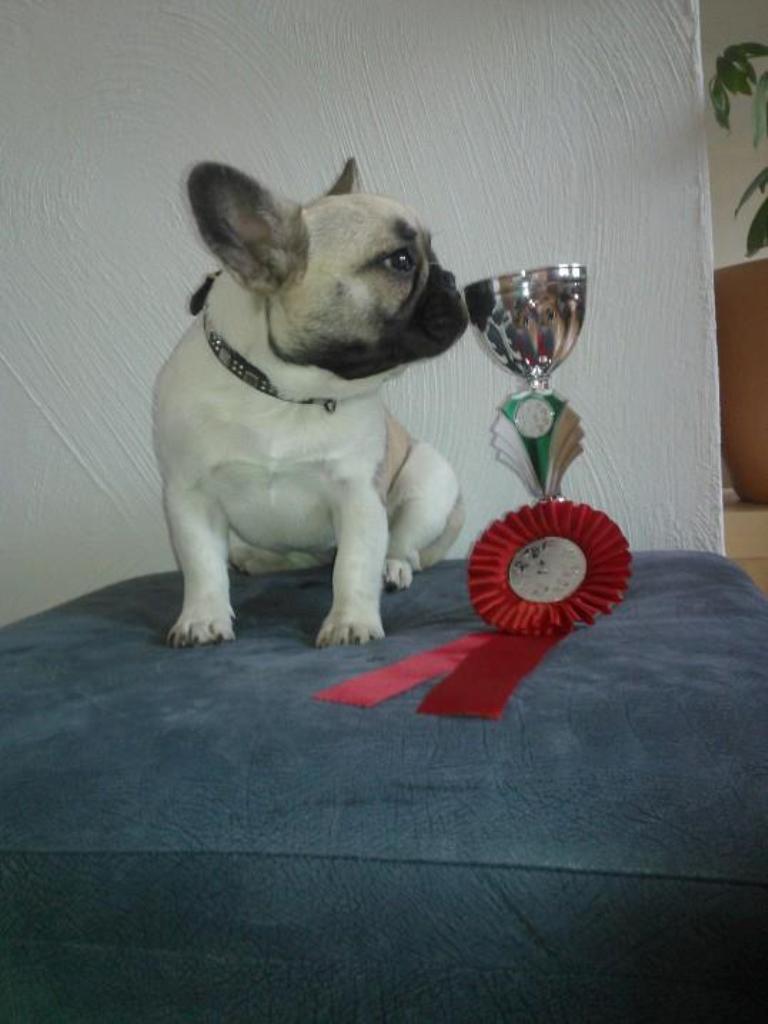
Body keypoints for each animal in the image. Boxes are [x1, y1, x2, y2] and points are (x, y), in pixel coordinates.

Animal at [153, 159, 468, 648]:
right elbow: (202, 566)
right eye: (399, 261)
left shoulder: (358, 495)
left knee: (403, 546)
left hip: (428, 479)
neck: (283, 394)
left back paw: (392, 568)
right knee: (302, 557)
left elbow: (354, 566)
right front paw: (202, 618)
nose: (451, 279)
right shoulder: (190, 495)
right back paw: (259, 559)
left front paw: (350, 622)